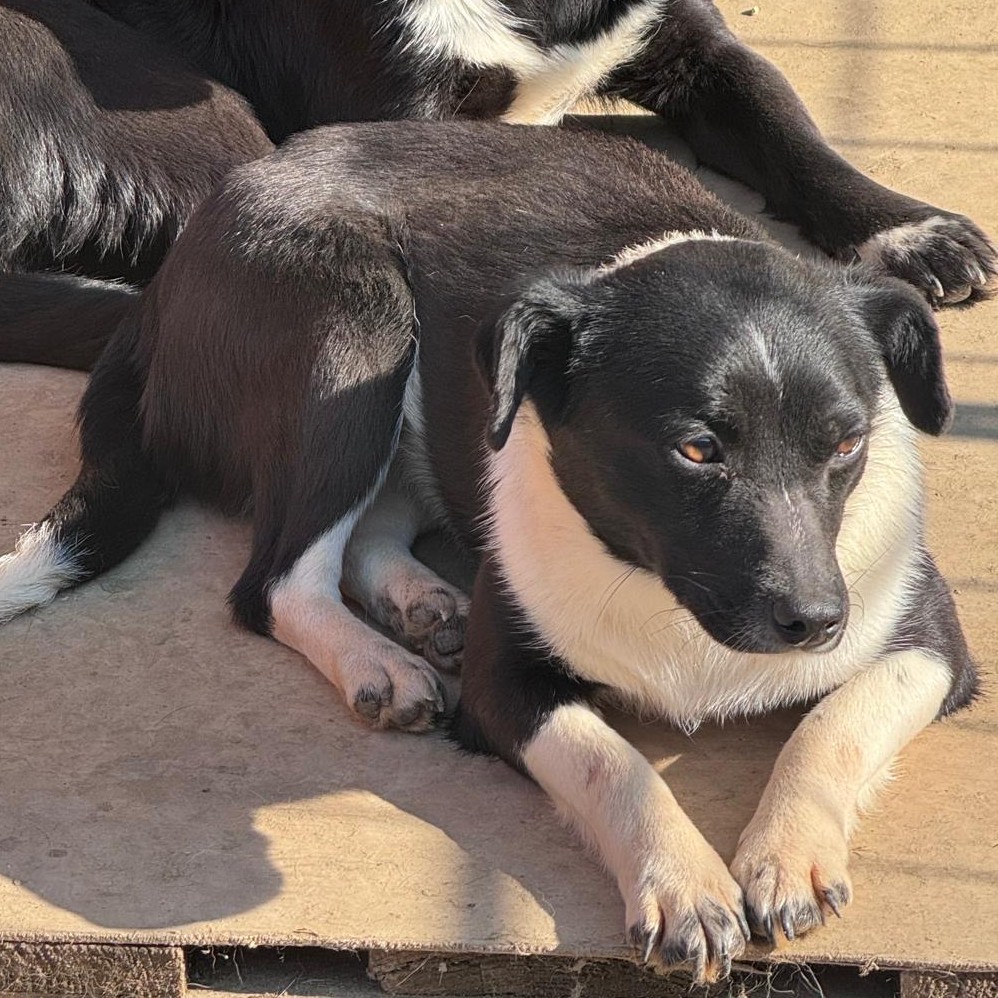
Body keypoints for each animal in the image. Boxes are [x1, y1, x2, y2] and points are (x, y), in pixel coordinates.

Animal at [0, 121, 978, 979]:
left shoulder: (934, 646)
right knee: (275, 580)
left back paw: (420, 603)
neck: (670, 600)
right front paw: (681, 882)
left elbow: (834, 724)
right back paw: (380, 661)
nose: (815, 622)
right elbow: (609, 761)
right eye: (698, 450)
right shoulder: (506, 687)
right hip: (353, 323)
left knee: (374, 526)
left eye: (847, 444)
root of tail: (162, 287)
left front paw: (786, 854)